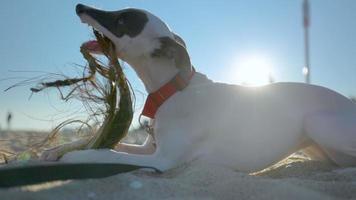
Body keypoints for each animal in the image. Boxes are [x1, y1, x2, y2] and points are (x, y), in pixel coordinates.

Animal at [45, 3, 356, 173]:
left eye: (123, 20)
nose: (79, 7)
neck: (173, 90)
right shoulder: (149, 149)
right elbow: (109, 144)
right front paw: (58, 149)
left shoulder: (163, 160)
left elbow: (107, 153)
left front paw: (75, 157)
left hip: (318, 122)